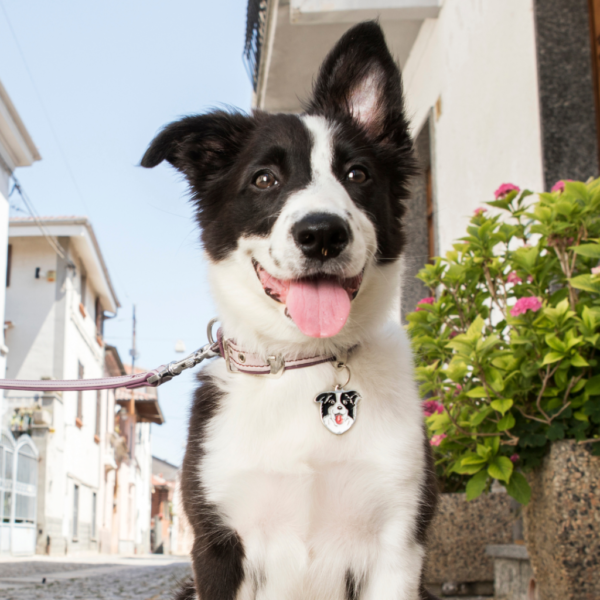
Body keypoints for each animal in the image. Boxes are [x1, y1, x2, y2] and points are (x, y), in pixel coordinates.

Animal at [143, 19, 438, 600]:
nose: (322, 234)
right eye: (264, 180)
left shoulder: (398, 546)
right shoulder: (217, 546)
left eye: (357, 174)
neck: (302, 362)